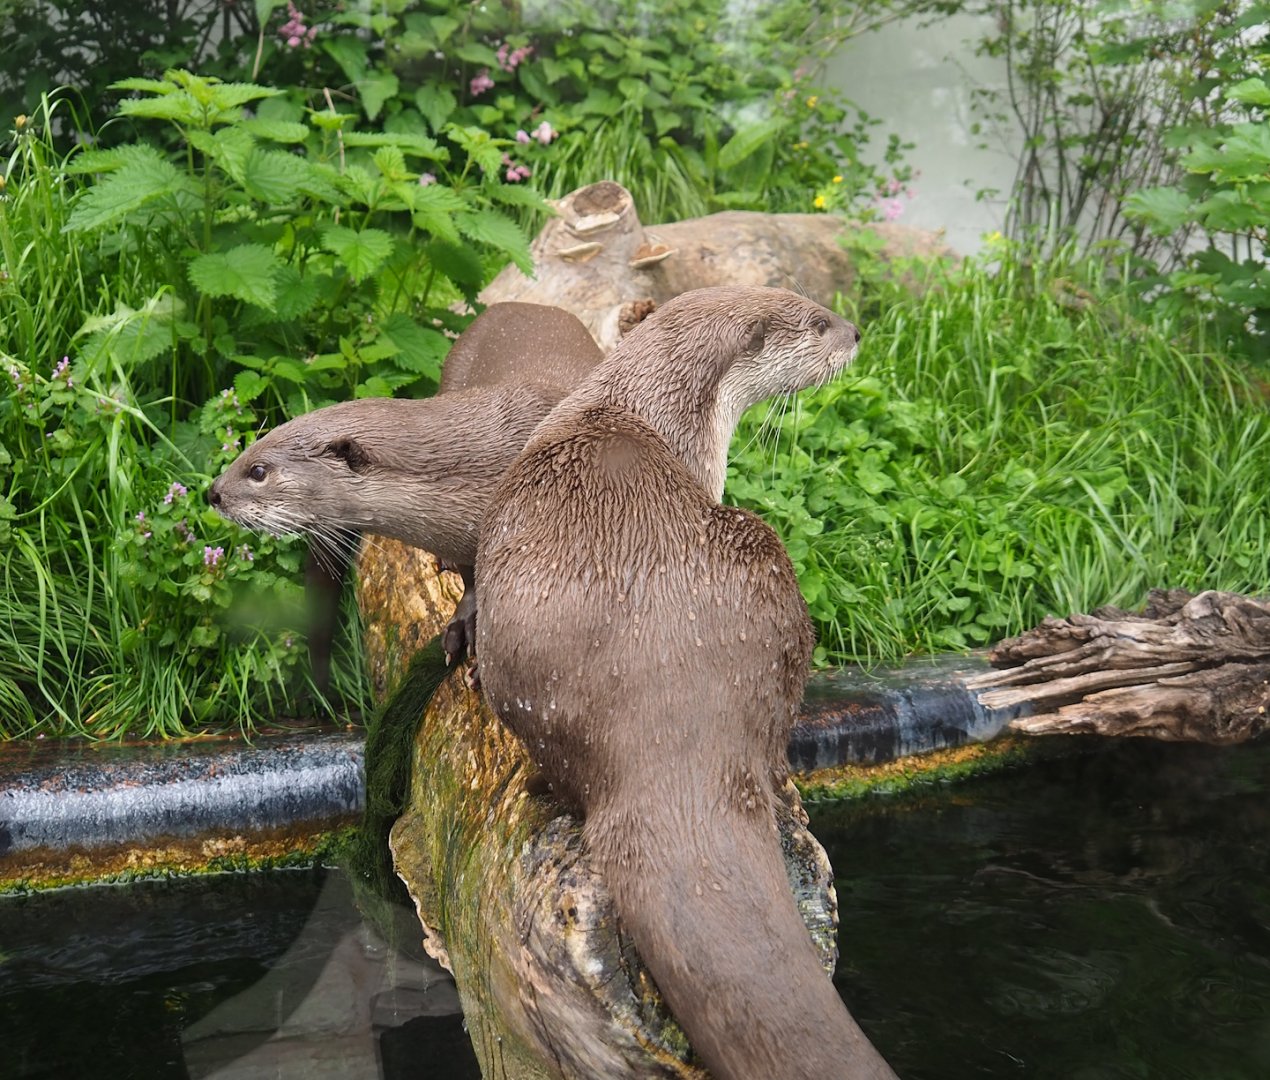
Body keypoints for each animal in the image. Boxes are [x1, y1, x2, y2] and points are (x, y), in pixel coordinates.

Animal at [208, 303, 603, 673]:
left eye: (258, 470)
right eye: (249, 450)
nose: (213, 493)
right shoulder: (457, 539)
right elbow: (471, 578)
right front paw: (462, 625)